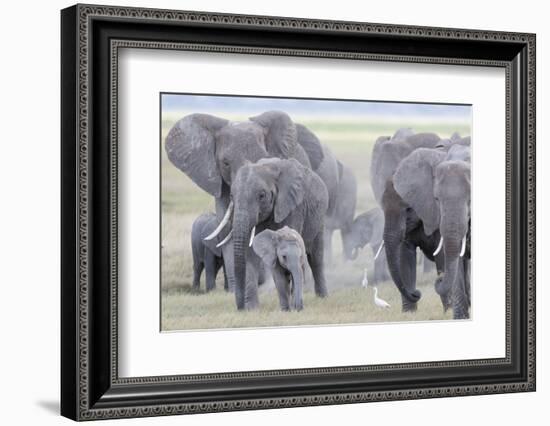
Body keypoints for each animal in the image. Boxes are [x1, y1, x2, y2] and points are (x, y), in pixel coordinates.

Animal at [221, 156, 328, 310]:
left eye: (261, 195)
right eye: (231, 195)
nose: (240, 308)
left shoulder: (293, 207)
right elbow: (249, 253)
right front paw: (252, 309)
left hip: (319, 218)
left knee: (316, 257)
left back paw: (322, 297)